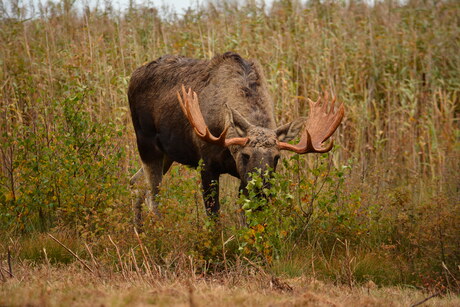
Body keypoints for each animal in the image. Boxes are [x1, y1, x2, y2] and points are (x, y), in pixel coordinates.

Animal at [127, 50, 344, 224]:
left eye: (276, 158)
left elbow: (246, 219)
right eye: (245, 154)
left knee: (137, 184)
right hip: (146, 143)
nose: (262, 188)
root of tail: (133, 75)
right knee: (153, 194)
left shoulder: (242, 176)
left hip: (167, 154)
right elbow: (214, 217)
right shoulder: (207, 164)